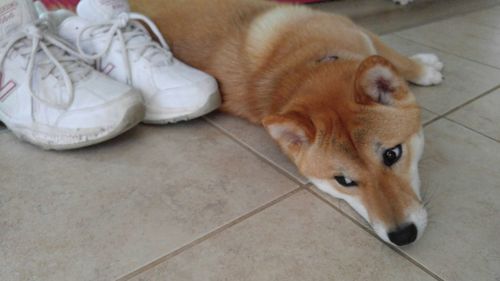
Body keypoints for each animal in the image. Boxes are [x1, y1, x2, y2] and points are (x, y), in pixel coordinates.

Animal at [131, 0, 444, 245]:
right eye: (344, 181)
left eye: (392, 154)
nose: (402, 236)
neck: (310, 61)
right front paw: (425, 69)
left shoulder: (354, 30)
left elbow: (392, 56)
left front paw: (421, 67)